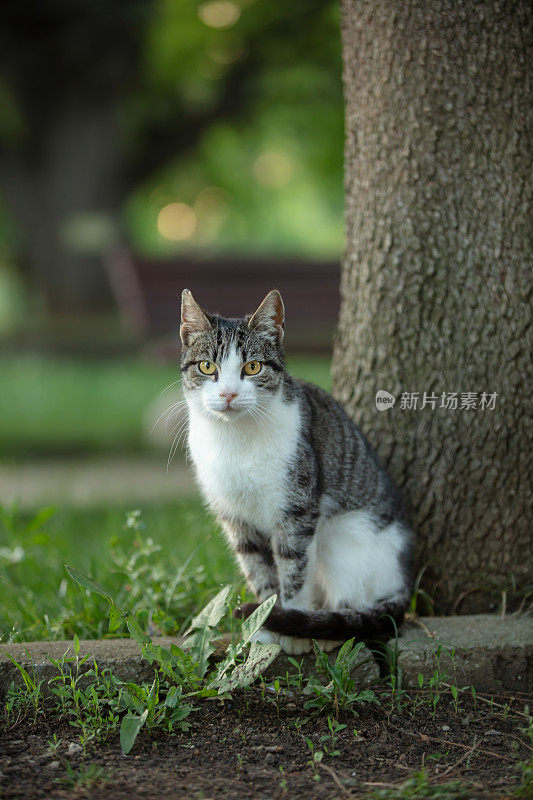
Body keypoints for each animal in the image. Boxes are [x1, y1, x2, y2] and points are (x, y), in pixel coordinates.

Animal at [181, 290, 414, 660]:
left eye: (252, 367)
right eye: (207, 366)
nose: (229, 393)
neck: (235, 441)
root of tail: (403, 581)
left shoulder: (297, 510)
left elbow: (294, 569)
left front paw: (291, 625)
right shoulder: (236, 518)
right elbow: (260, 572)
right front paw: (264, 626)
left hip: (344, 536)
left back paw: (329, 629)